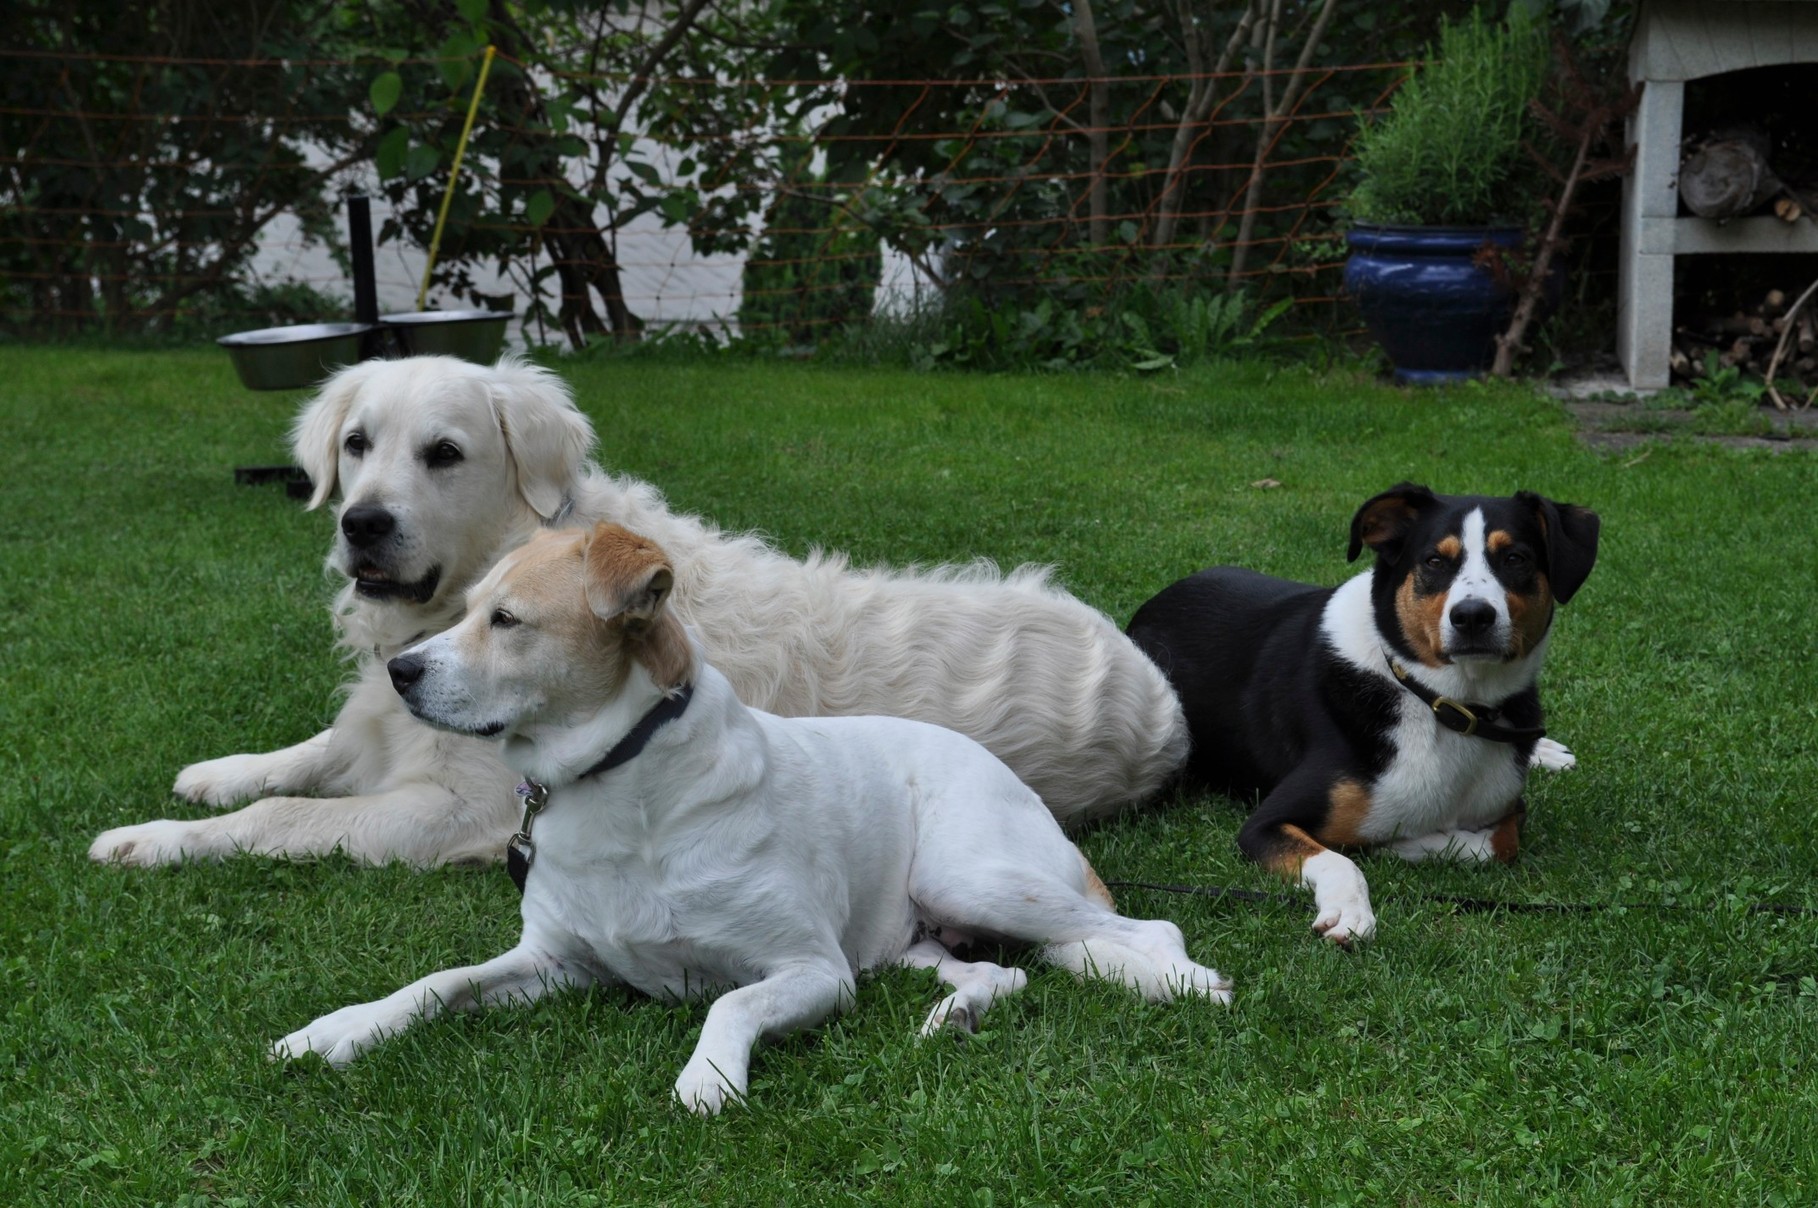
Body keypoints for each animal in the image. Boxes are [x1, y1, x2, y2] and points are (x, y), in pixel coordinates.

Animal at [88, 354, 1192, 862]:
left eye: (443, 453)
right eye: (356, 443)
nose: (363, 524)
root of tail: (1163, 698)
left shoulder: (460, 809)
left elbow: (287, 812)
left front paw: (149, 839)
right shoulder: (386, 713)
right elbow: (312, 752)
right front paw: (216, 772)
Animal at [269, 520, 1236, 1113]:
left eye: (506, 621)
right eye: (466, 609)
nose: (398, 673)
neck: (622, 790)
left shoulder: (812, 969)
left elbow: (729, 1003)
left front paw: (709, 1078)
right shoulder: (555, 961)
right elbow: (435, 984)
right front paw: (338, 1030)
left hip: (971, 874)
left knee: (1148, 929)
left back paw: (1185, 984)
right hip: (918, 936)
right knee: (1005, 974)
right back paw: (956, 1017)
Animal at [1127, 480, 1599, 946]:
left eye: (1515, 558)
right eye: (1434, 560)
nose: (1472, 616)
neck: (1443, 705)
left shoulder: (1507, 802)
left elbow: (1500, 842)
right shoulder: (1263, 824)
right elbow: (1340, 859)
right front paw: (1352, 909)